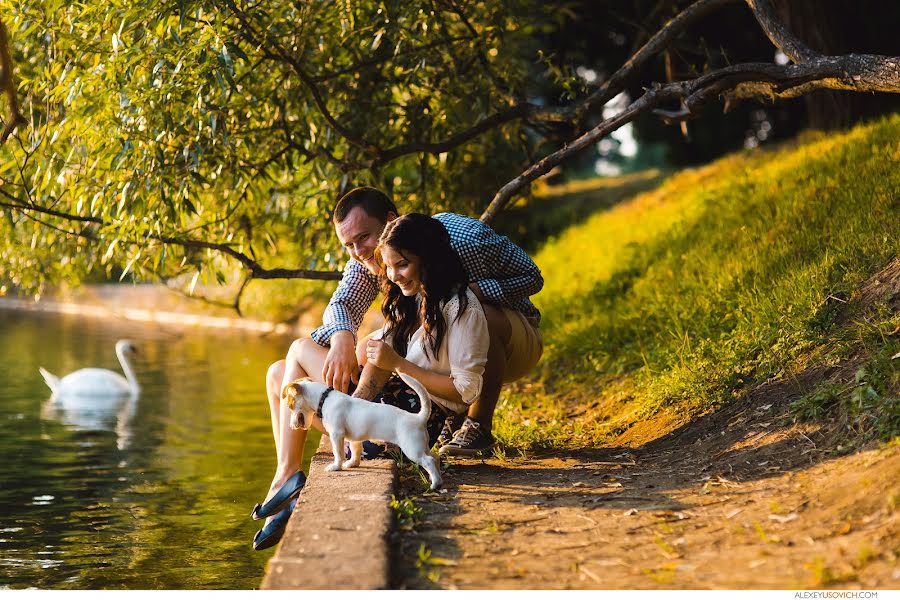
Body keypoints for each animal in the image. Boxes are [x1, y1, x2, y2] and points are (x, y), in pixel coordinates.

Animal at [282, 372, 442, 490]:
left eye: (290, 405)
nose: (291, 426)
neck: (324, 398)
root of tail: (418, 417)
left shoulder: (336, 435)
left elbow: (338, 453)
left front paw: (336, 467)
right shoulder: (354, 439)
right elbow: (356, 451)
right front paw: (352, 464)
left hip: (413, 449)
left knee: (428, 461)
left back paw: (434, 484)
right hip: (422, 446)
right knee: (435, 458)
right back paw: (438, 480)